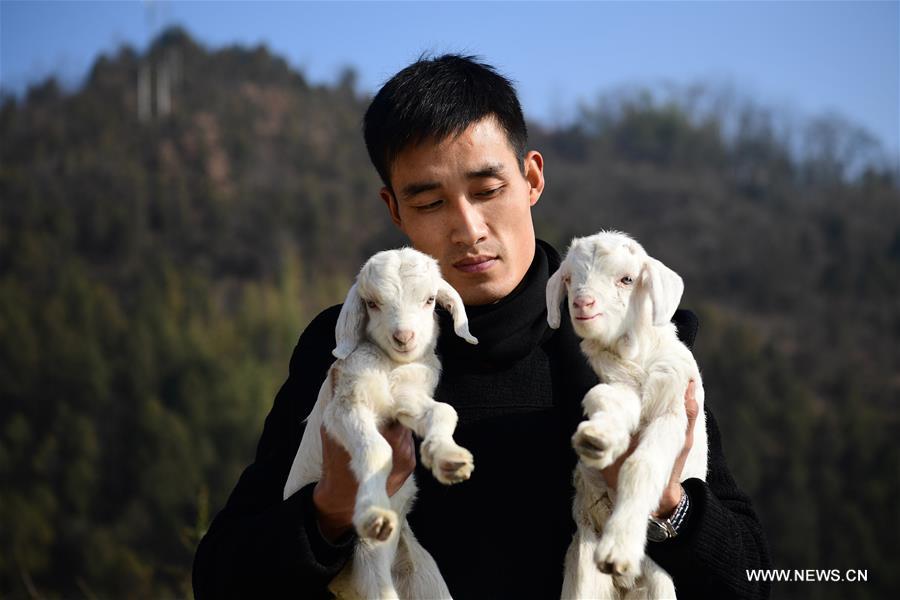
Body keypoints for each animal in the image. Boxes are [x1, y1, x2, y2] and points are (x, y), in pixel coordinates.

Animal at [283, 248, 478, 600]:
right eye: (372, 303)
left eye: (430, 299)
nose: (404, 337)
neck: (390, 366)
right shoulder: (346, 405)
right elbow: (377, 450)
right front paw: (374, 514)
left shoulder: (406, 399)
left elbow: (443, 411)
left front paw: (449, 459)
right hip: (366, 564)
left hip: (422, 578)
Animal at [546, 231, 708, 599]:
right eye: (569, 278)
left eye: (627, 279)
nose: (583, 304)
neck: (634, 358)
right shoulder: (616, 384)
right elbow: (603, 399)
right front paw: (599, 438)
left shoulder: (673, 409)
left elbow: (641, 464)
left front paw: (618, 548)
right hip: (581, 570)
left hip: (659, 584)